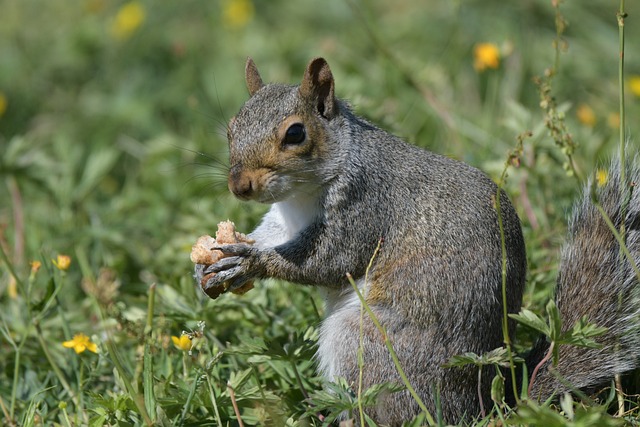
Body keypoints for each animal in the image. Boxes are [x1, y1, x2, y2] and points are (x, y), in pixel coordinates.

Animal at [195, 57, 640, 427]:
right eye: (232, 127)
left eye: (295, 133)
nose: (239, 185)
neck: (303, 192)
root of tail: (481, 405)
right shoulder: (285, 219)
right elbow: (270, 236)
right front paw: (212, 263)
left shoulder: (365, 207)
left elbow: (326, 262)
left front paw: (250, 262)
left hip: (367, 344)